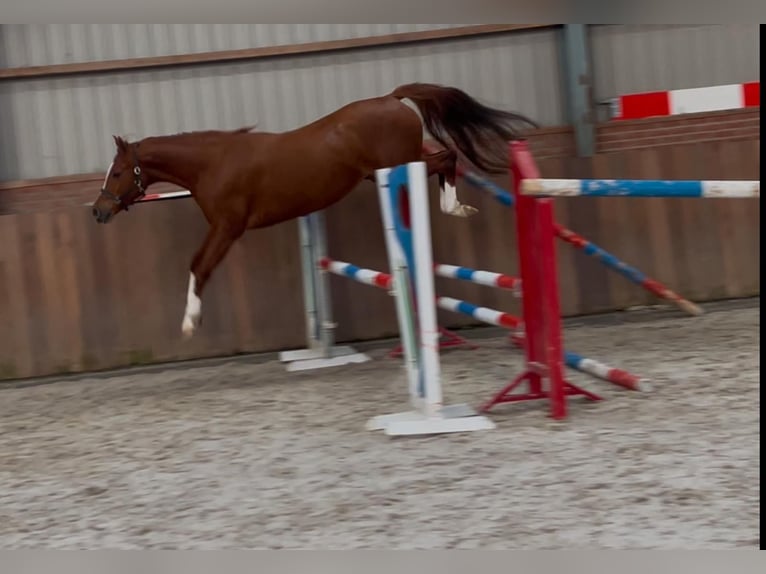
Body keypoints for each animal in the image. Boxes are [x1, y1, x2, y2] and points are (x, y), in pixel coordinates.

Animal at [93, 83, 536, 340]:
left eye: (117, 172)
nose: (98, 212)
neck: (214, 164)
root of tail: (391, 99)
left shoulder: (228, 227)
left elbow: (198, 266)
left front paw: (190, 321)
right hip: (390, 168)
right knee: (445, 158)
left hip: (400, 164)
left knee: (448, 157)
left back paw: (455, 207)